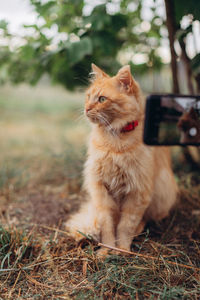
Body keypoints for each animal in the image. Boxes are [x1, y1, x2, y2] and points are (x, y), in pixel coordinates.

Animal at [65, 63, 178, 253]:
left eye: (102, 99)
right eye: (88, 97)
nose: (87, 109)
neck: (114, 142)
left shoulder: (138, 192)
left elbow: (126, 226)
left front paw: (122, 250)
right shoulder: (100, 190)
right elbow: (107, 226)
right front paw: (106, 251)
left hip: (162, 192)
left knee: (145, 219)